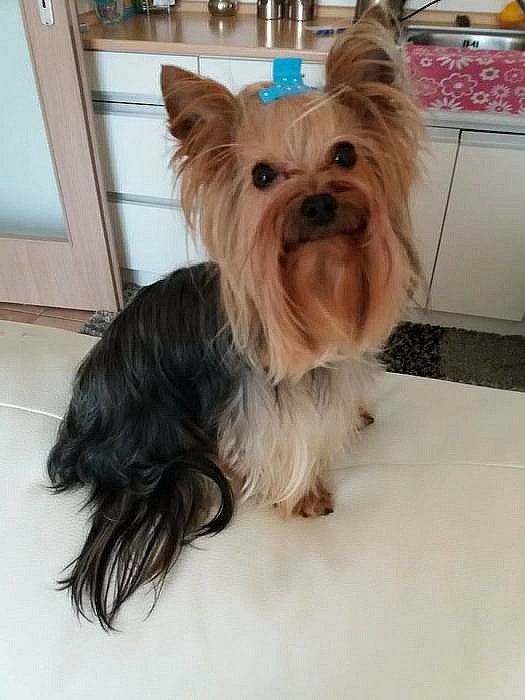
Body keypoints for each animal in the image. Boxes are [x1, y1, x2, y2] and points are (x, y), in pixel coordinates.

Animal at [47, 15, 423, 630]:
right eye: (263, 175)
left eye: (345, 155)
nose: (317, 202)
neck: (319, 282)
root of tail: (79, 434)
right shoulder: (263, 403)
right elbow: (285, 443)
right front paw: (306, 497)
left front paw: (358, 414)